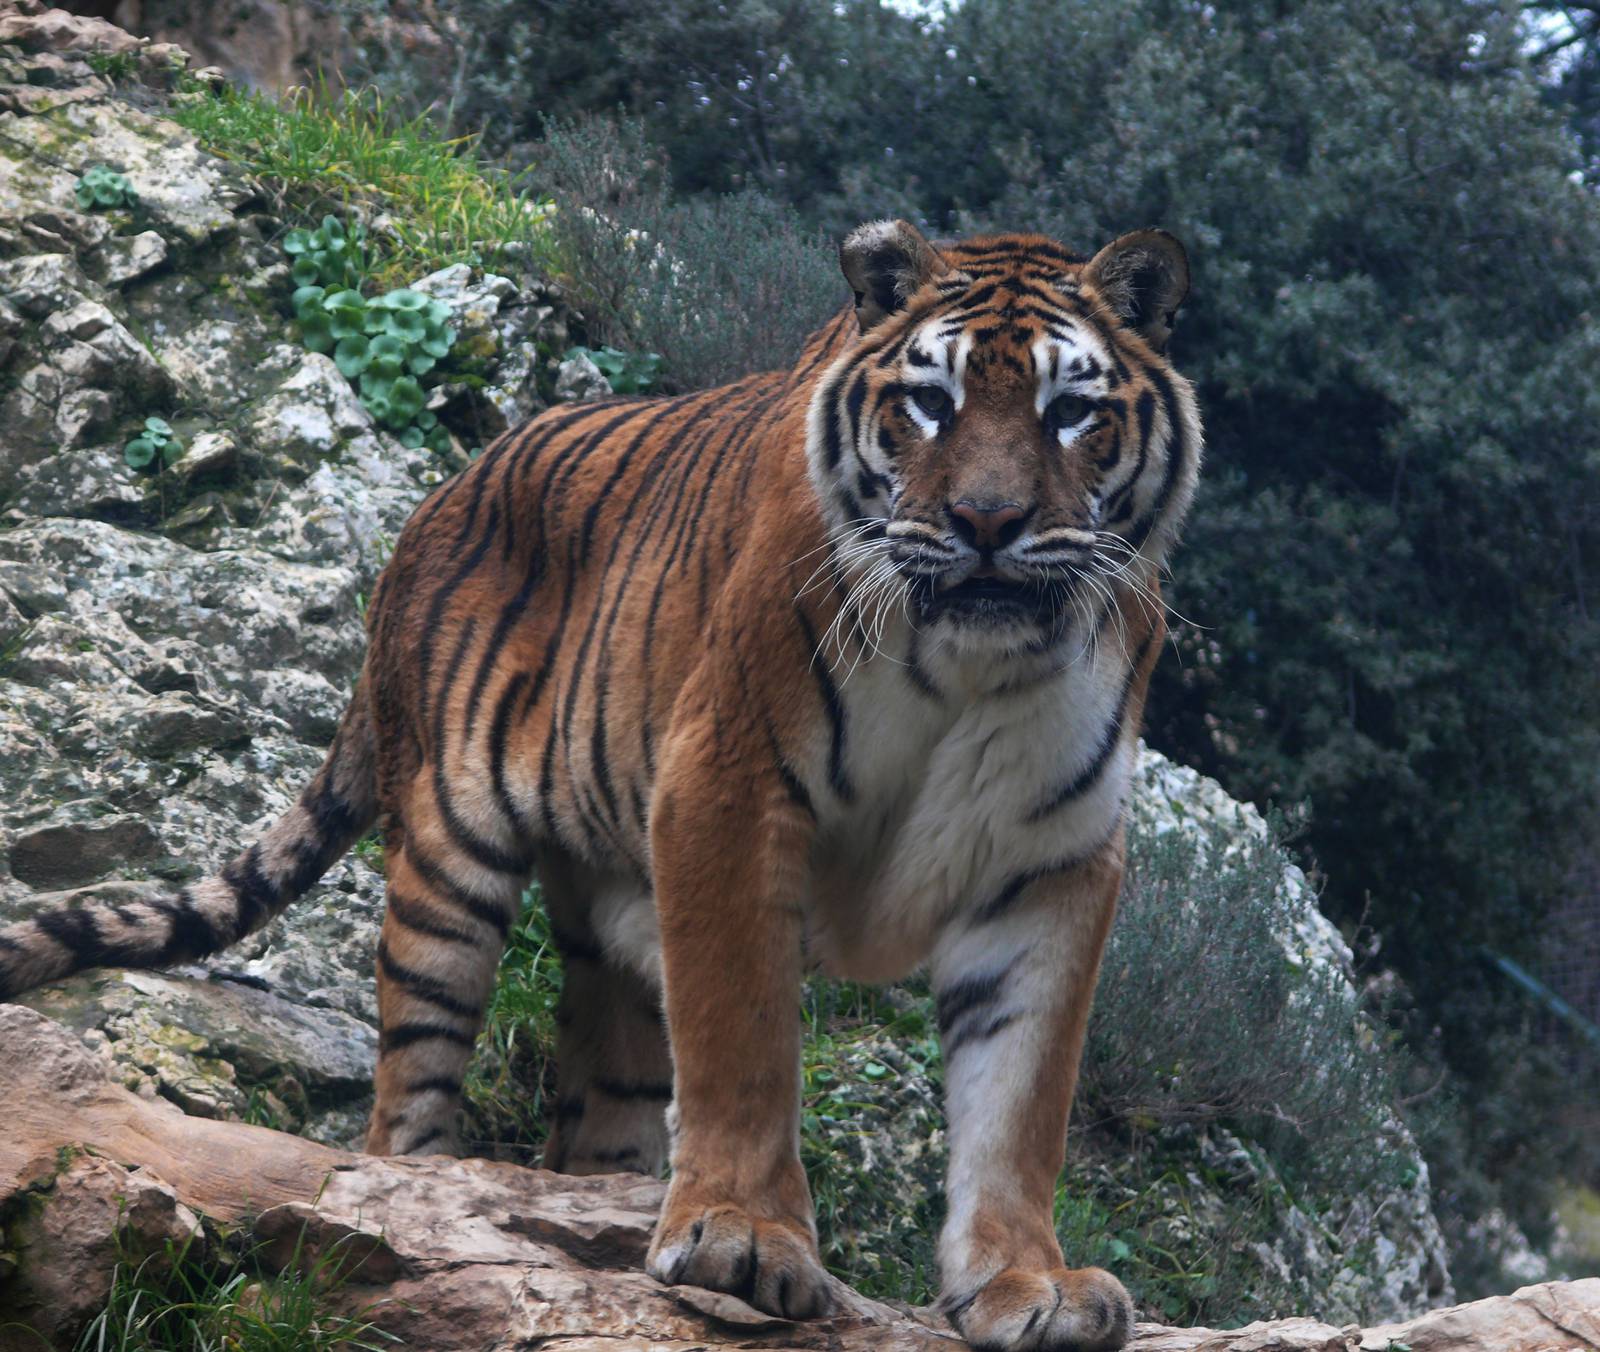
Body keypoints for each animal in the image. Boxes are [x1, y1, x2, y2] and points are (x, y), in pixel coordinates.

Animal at [0, 219, 1200, 1350]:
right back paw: (415, 1212)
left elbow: (1020, 1102)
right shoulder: (729, 784)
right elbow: (747, 1044)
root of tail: (433, 503)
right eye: (931, 402)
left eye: (1069, 412)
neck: (972, 663)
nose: (988, 524)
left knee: (591, 1113)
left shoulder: (1051, 863)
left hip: (618, 930)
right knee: (401, 1106)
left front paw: (1027, 1284)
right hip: (446, 865)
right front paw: (743, 1239)